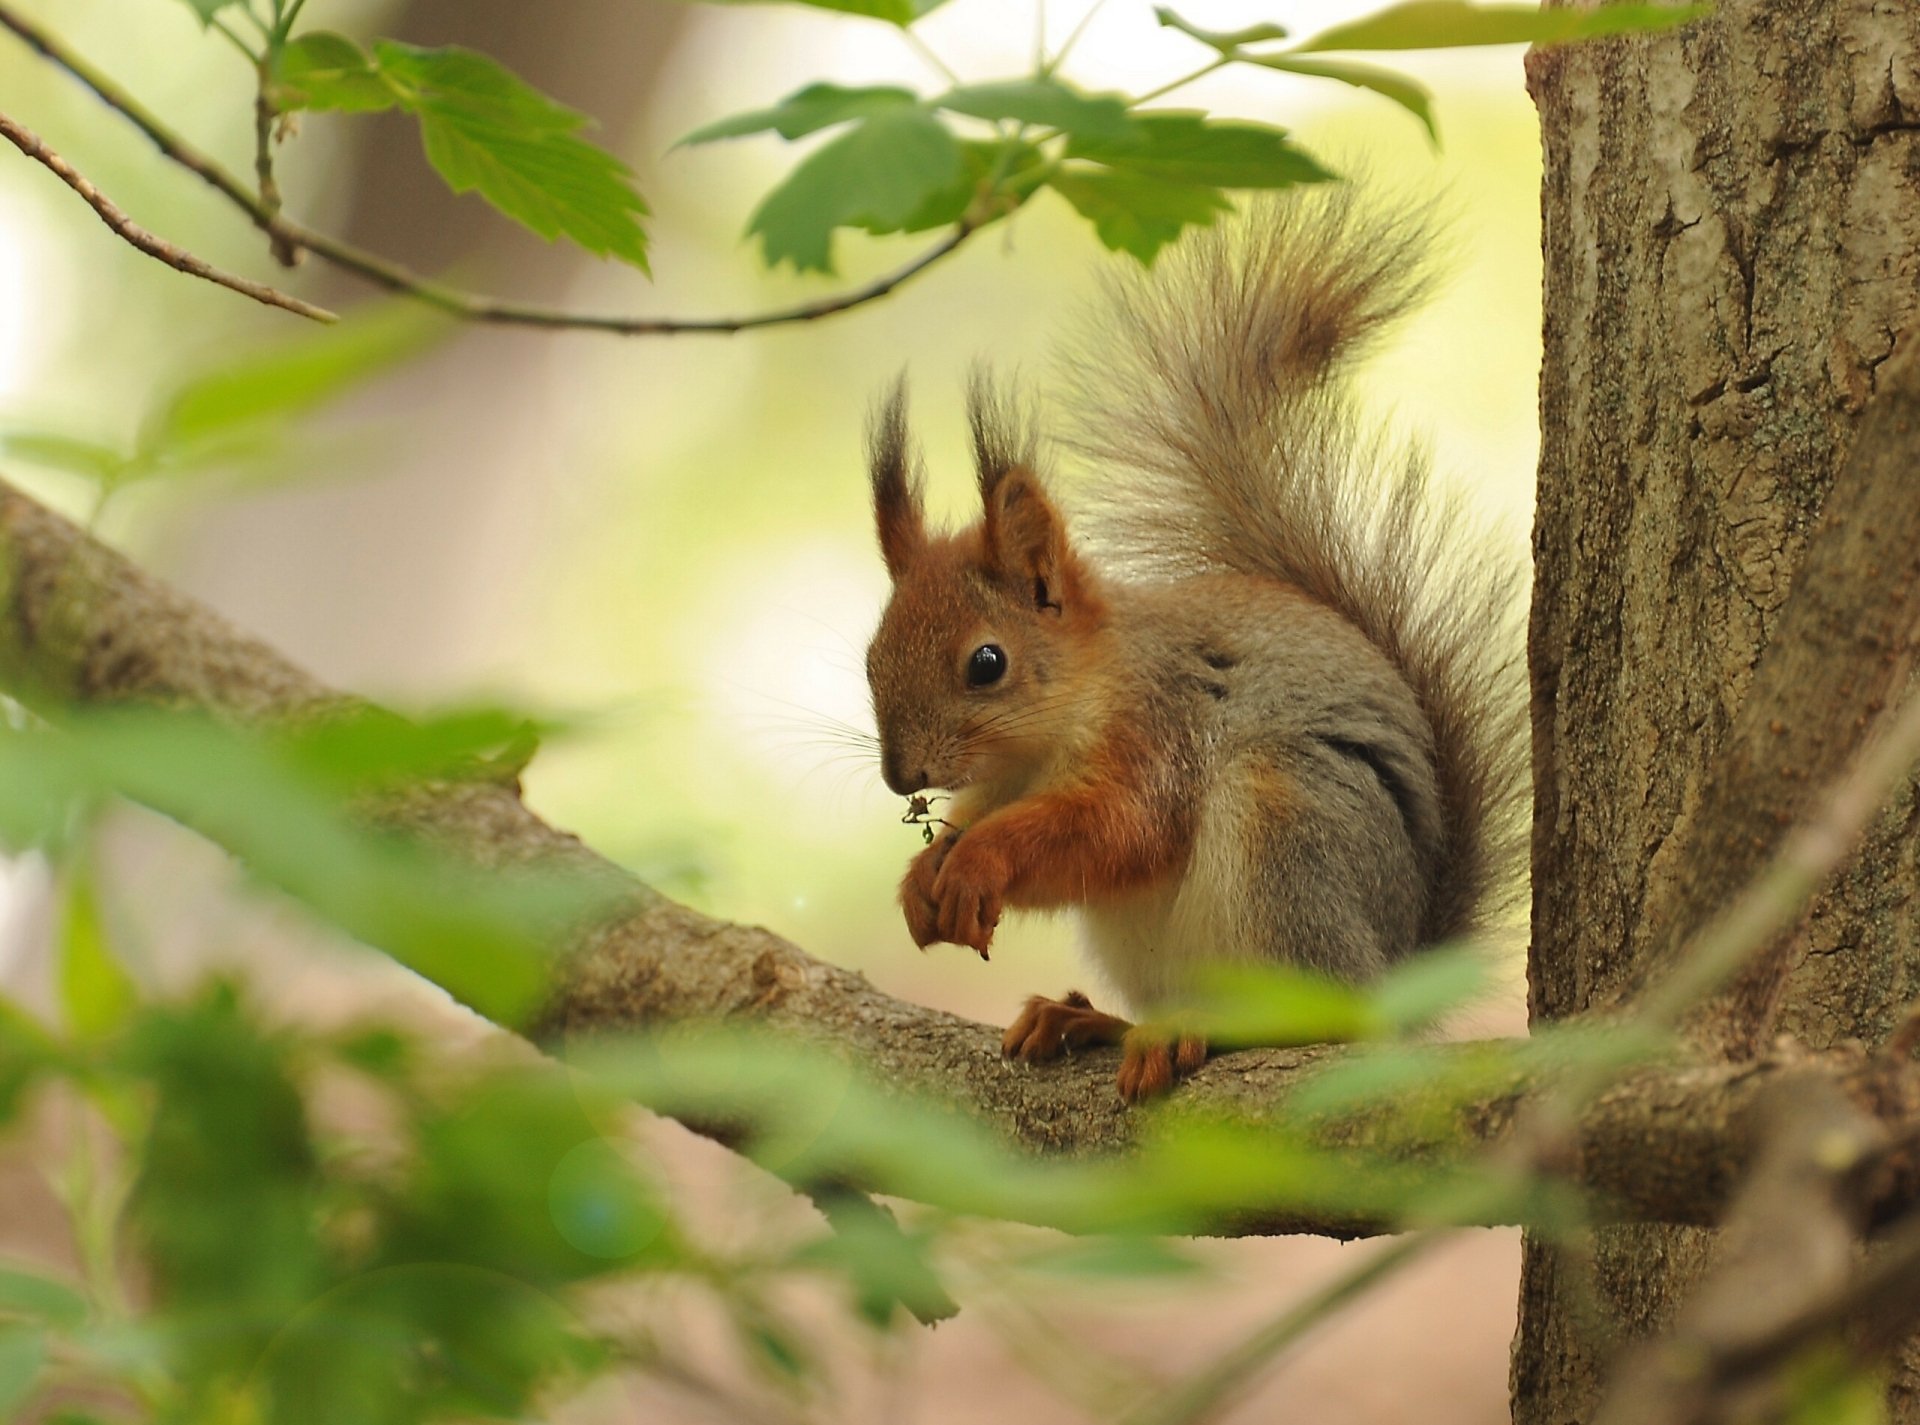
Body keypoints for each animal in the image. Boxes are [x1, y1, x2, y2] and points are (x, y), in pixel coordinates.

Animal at [864, 187, 1520, 1106]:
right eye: (871, 653)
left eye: (986, 663)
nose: (900, 776)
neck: (1054, 729)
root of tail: (1395, 977)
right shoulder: (1003, 780)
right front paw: (921, 878)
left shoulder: (1158, 726)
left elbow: (1118, 828)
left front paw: (979, 859)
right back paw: (1090, 1020)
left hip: (1286, 834)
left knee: (1316, 1018)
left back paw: (1194, 1031)